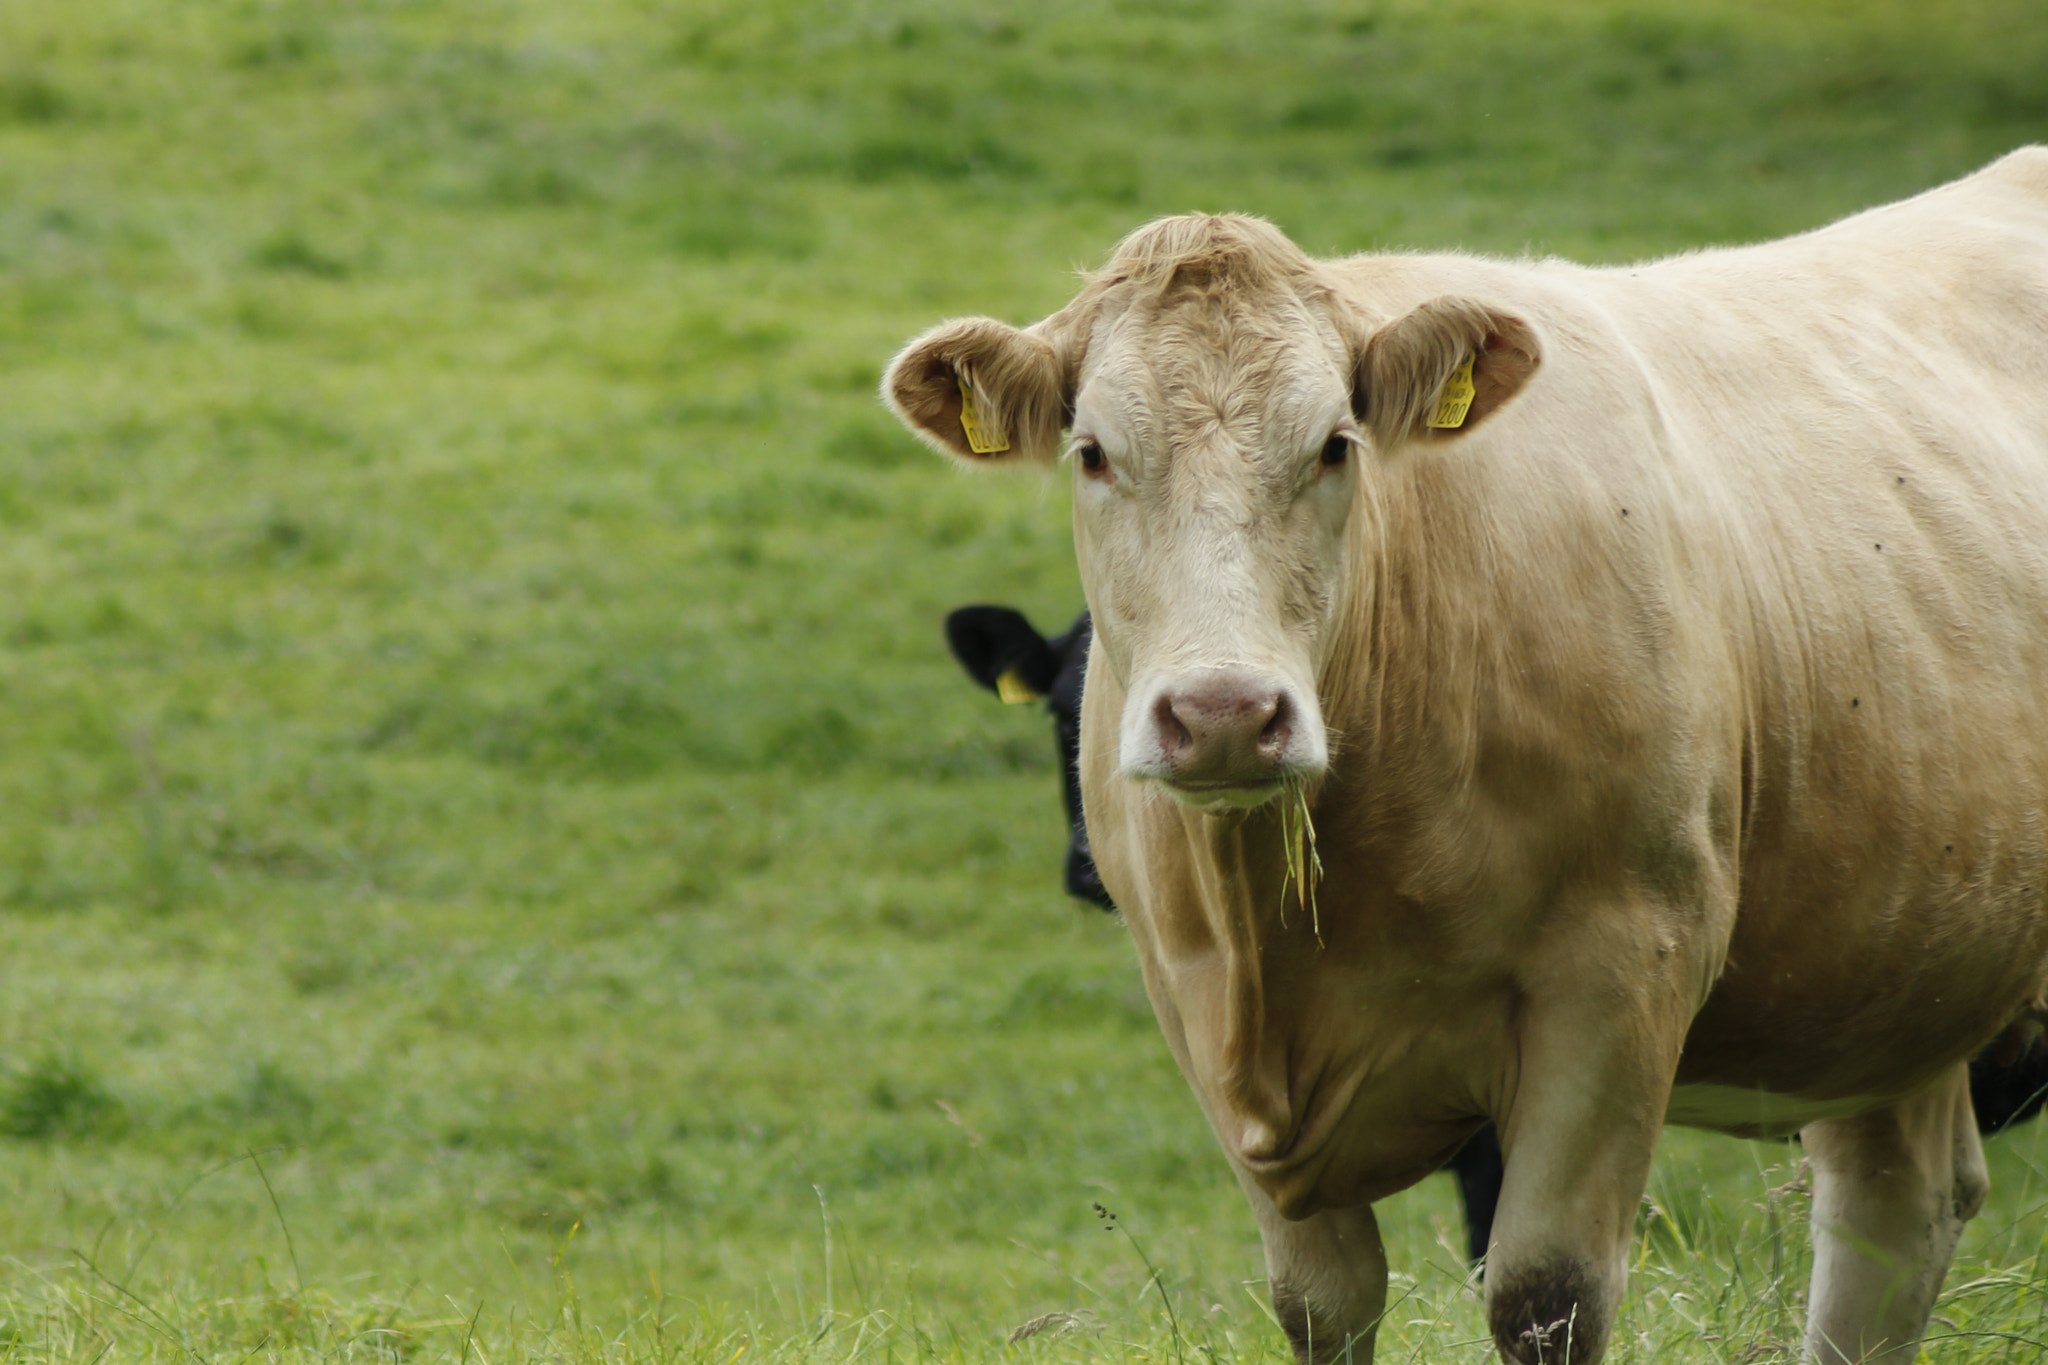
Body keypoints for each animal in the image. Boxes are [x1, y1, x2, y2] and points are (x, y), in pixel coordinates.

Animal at [887, 148, 2048, 1364]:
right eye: (1094, 452)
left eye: (1334, 445)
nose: (1224, 712)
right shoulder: (1193, 1006)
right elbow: (1322, 1302)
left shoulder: (1623, 974)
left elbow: (1544, 1291)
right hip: (1893, 974)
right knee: (1894, 1208)